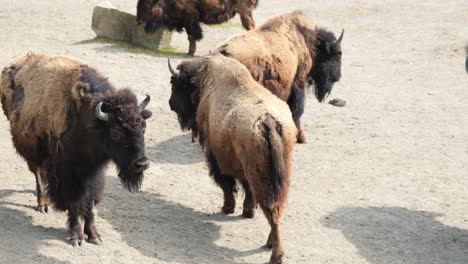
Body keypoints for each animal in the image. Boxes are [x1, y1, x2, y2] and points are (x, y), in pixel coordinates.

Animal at [0, 52, 153, 246]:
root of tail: (15, 62)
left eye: (143, 127)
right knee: (38, 172)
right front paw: (77, 237)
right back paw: (43, 203)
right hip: (32, 147)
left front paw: (94, 235)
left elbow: (90, 202)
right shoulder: (68, 172)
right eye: (117, 132)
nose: (142, 163)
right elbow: (74, 202)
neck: (89, 121)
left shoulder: (94, 171)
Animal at [168, 54, 296, 262]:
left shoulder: (216, 157)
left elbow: (226, 183)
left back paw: (275, 254)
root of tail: (267, 121)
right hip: (282, 175)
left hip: (260, 175)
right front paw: (247, 211)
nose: (171, 103)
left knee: (272, 210)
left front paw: (228, 208)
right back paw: (270, 244)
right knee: (277, 207)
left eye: (177, 84)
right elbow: (246, 191)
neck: (203, 80)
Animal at [213, 11, 344, 144]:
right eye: (338, 54)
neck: (308, 42)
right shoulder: (298, 83)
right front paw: (300, 137)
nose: (338, 77)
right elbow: (297, 110)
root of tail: (223, 51)